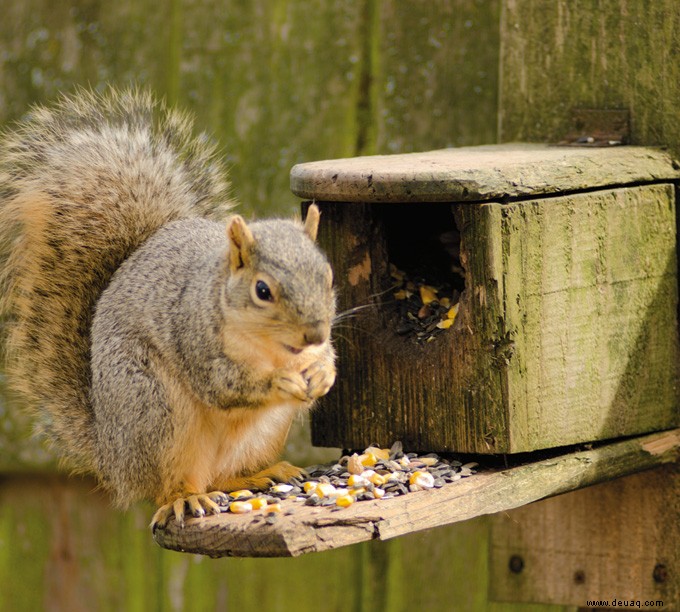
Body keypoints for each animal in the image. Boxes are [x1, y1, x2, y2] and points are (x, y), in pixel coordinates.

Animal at [0, 87, 336, 532]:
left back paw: (261, 474)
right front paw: (280, 382)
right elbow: (223, 384)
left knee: (223, 476)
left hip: (262, 432)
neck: (271, 349)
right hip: (153, 408)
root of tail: (113, 458)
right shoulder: (193, 336)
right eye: (262, 290)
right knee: (169, 485)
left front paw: (323, 373)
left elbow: (326, 359)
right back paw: (184, 499)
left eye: (329, 276)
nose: (313, 334)